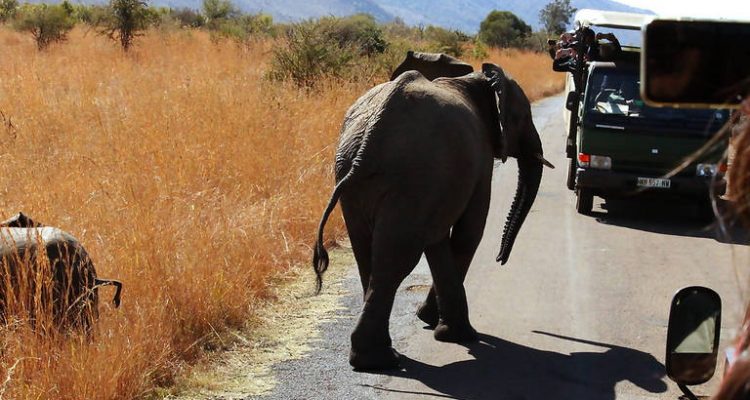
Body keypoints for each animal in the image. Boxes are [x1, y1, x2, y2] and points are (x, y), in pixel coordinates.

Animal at [312, 57, 552, 370]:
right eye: (523, 116)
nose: (501, 259)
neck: (476, 80)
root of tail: (369, 140)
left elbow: (438, 240)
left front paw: (433, 323)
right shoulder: (479, 161)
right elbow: (468, 234)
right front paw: (459, 335)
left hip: (355, 177)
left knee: (369, 254)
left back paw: (374, 357)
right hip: (412, 177)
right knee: (396, 260)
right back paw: (380, 360)